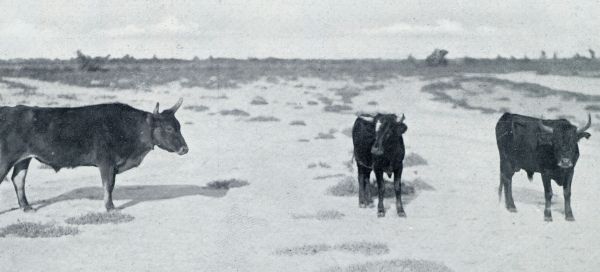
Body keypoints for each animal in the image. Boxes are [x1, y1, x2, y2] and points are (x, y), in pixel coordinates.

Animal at [0, 99, 189, 211]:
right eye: (169, 128)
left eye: (179, 126)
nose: (185, 149)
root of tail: (8, 109)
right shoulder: (106, 162)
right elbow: (108, 185)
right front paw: (110, 207)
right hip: (6, 159)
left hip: (24, 159)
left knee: (18, 179)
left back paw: (26, 207)